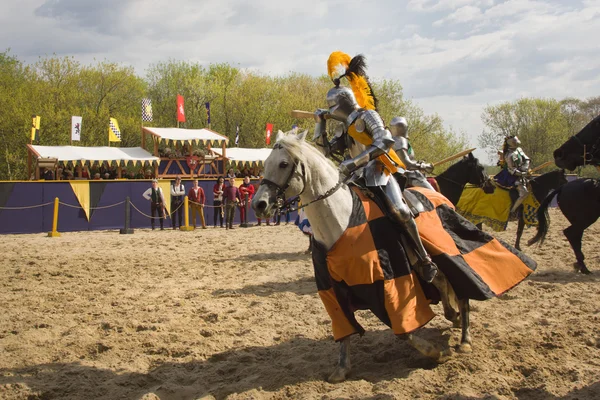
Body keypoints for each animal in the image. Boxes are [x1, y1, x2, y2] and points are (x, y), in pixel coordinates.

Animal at [252, 130, 468, 382]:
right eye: (266, 163)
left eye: (284, 164)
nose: (259, 204)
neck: (341, 219)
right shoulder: (331, 289)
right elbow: (344, 327)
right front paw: (342, 368)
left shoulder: (391, 280)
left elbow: (404, 330)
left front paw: (436, 352)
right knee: (442, 281)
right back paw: (453, 315)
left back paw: (464, 338)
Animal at [528, 114, 600, 274]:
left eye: (596, 124)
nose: (558, 154)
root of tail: (563, 188)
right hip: (585, 219)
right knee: (572, 234)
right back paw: (583, 266)